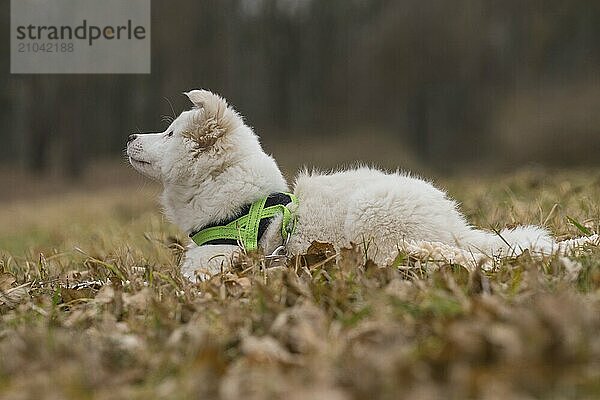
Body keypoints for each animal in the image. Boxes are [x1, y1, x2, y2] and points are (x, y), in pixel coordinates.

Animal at [125, 90, 552, 282]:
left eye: (169, 133)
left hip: (372, 216)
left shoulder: (213, 264)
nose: (130, 136)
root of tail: (455, 227)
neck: (244, 205)